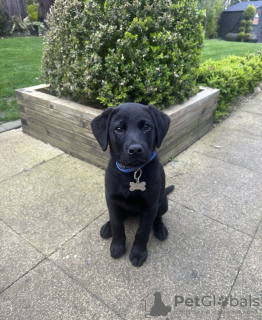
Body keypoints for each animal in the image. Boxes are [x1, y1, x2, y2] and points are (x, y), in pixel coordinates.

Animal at [91, 104, 174, 266]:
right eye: (118, 129)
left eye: (147, 127)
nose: (135, 149)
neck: (133, 172)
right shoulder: (111, 199)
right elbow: (117, 223)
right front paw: (117, 246)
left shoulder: (150, 206)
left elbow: (143, 231)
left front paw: (138, 253)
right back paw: (107, 227)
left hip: (163, 203)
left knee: (158, 217)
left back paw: (160, 229)